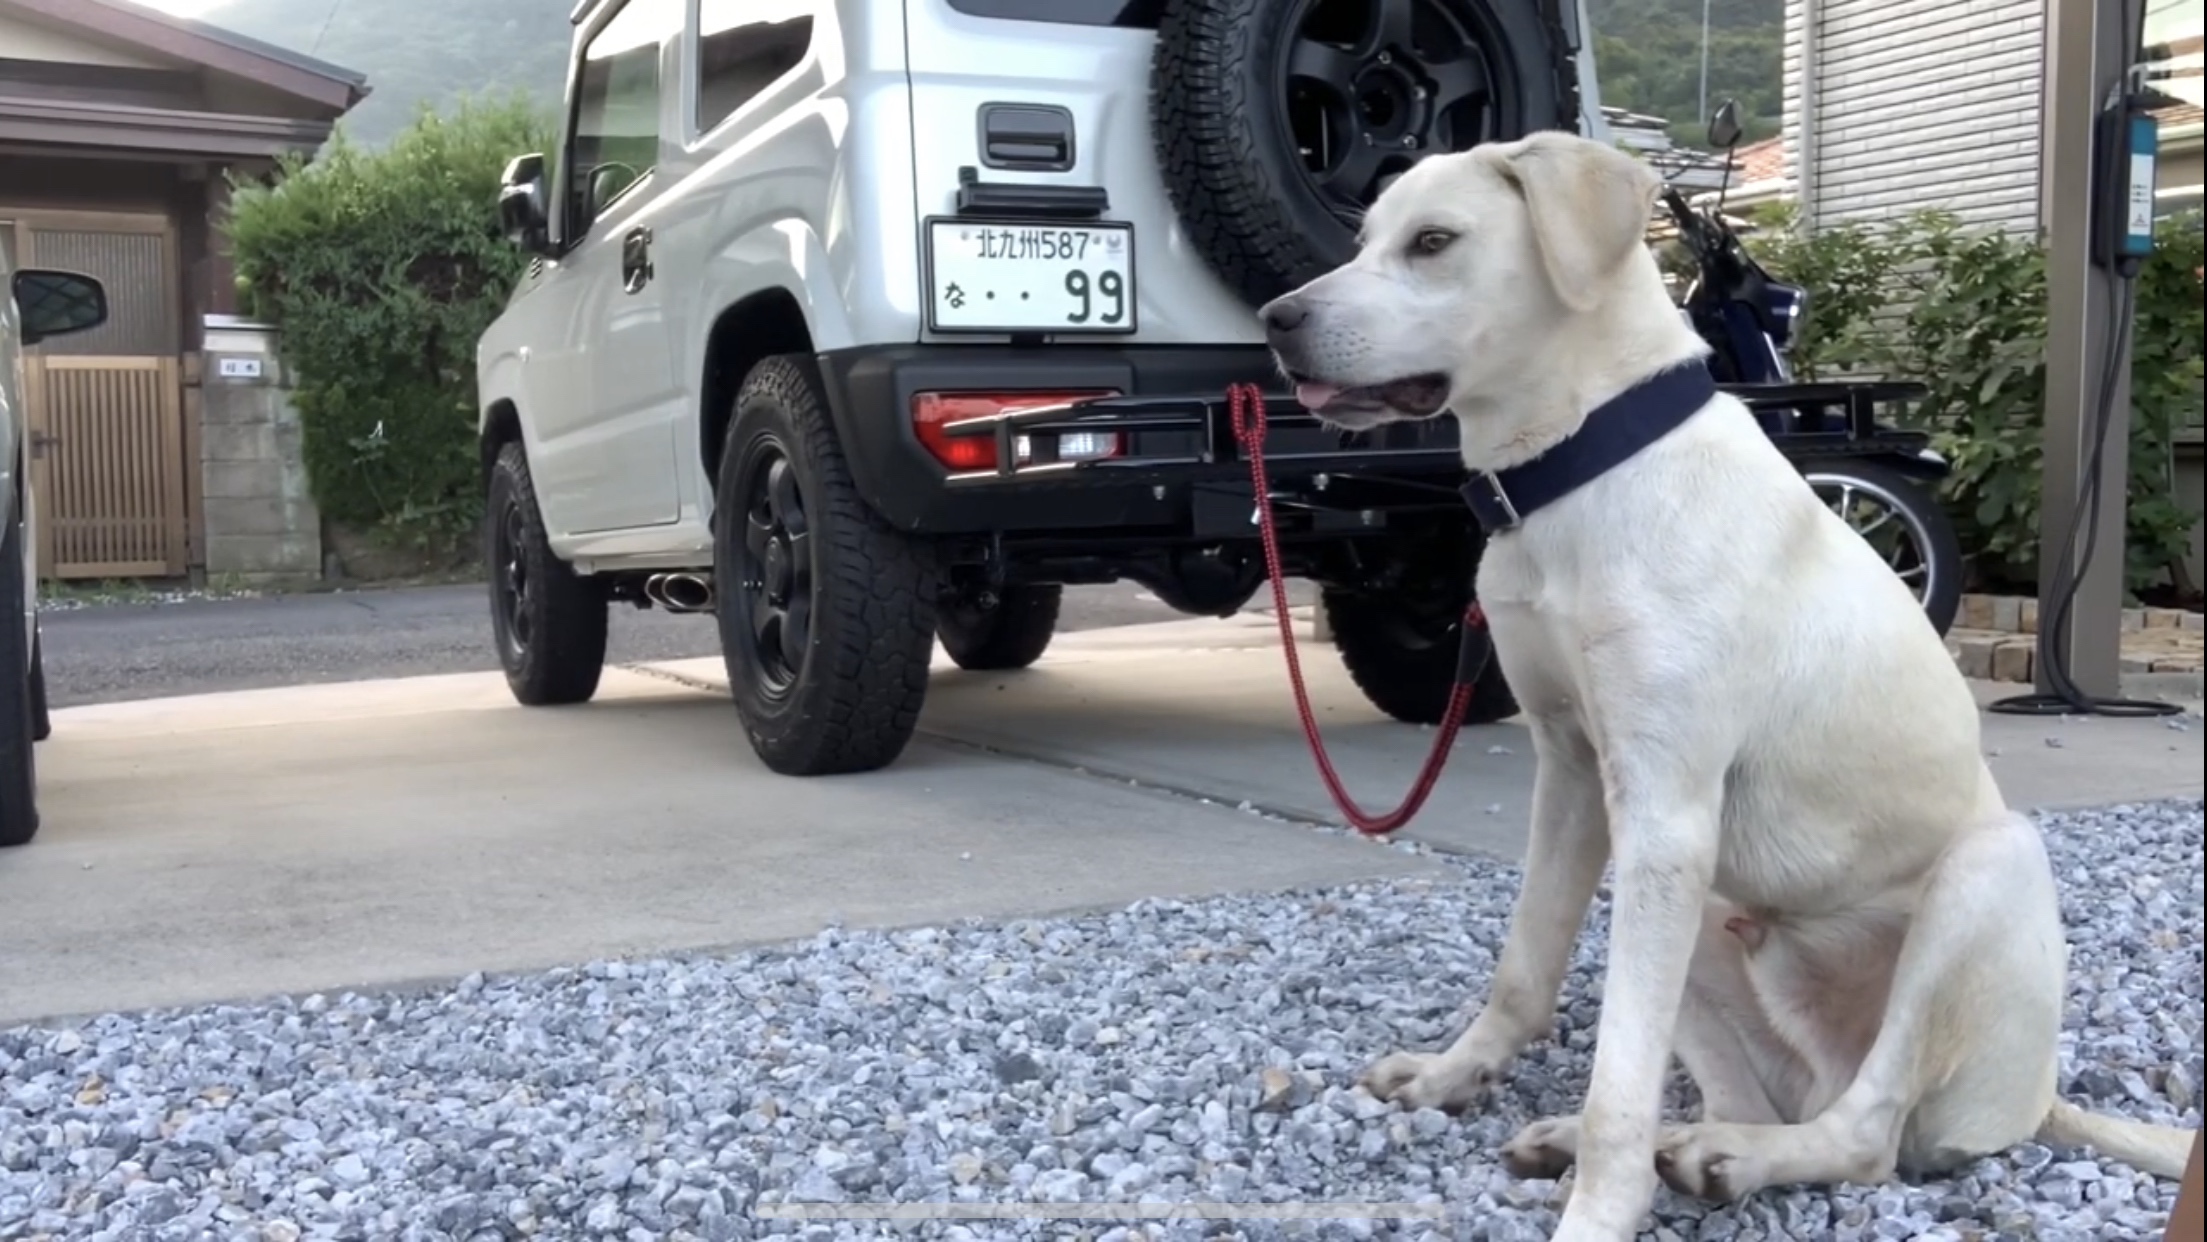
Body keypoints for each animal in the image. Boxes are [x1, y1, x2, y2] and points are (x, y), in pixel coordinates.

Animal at [1262, 129, 2189, 1242]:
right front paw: (1455, 1077)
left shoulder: (1664, 807)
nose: (1274, 321)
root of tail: (2039, 1095)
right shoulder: (1573, 776)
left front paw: (1597, 1212)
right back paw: (1676, 1147)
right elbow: (1524, 967)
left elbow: (1617, 1076)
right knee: (1745, 1099)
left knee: (1863, 1134)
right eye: (1361, 238)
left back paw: (1727, 1159)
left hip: (1981, 871)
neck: (1580, 469)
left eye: (1433, 242)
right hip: (1702, 900)